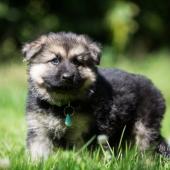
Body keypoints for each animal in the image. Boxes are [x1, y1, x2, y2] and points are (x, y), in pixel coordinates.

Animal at [22, 32, 170, 161]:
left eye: (77, 62)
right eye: (55, 60)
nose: (68, 77)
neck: (63, 104)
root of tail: (154, 88)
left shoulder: (84, 134)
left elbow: (83, 155)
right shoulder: (39, 131)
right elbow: (38, 153)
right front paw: (37, 164)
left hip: (144, 128)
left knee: (149, 149)